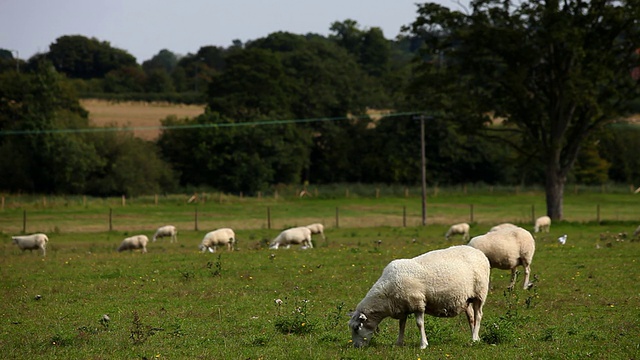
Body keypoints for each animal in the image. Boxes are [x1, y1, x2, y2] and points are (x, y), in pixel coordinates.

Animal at [350, 245, 490, 348]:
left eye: (357, 328)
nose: (356, 347)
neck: (386, 296)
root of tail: (479, 252)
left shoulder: (417, 303)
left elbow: (419, 324)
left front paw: (423, 344)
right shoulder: (403, 306)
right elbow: (401, 325)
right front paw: (399, 343)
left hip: (480, 293)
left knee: (478, 315)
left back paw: (474, 338)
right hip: (466, 298)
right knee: (471, 317)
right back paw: (474, 336)